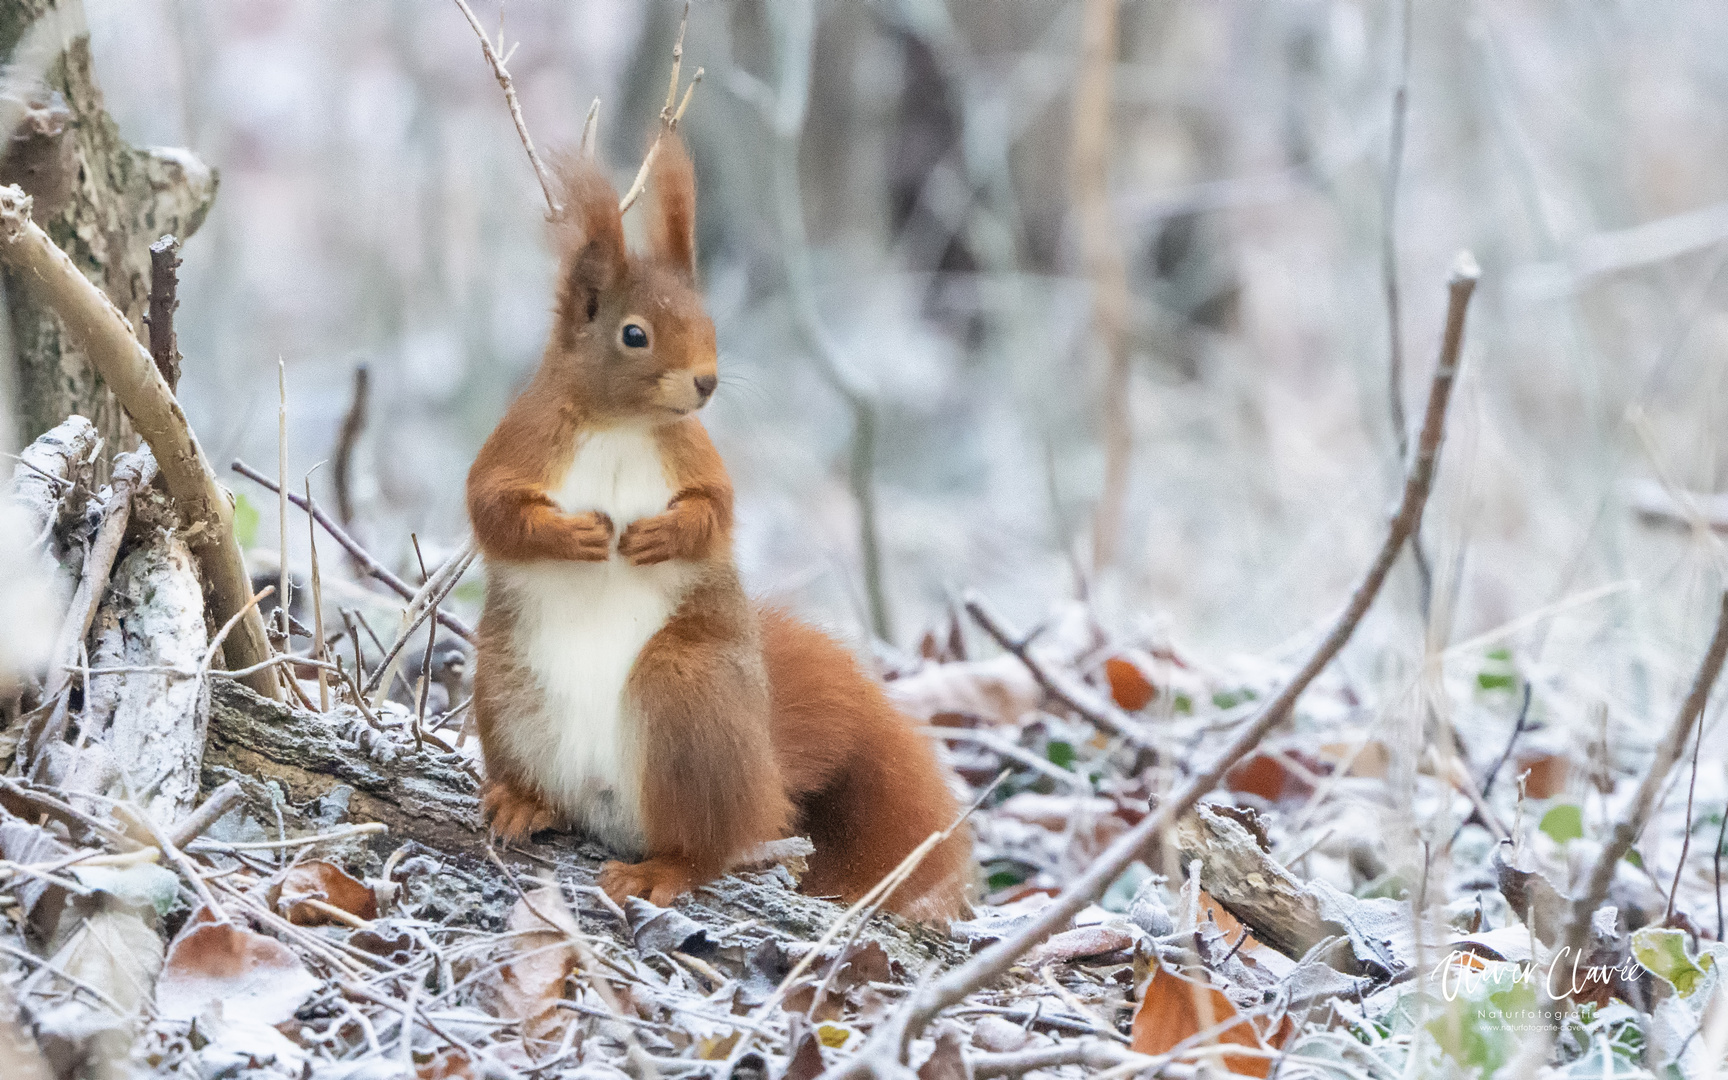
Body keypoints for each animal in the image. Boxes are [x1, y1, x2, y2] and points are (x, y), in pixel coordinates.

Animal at [466, 139, 974, 919]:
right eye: (634, 335)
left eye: (708, 323)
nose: (704, 383)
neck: (624, 424)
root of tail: (764, 782)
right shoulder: (520, 443)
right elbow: (491, 510)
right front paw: (574, 537)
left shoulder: (699, 459)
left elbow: (716, 515)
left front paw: (658, 538)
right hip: (504, 690)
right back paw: (526, 802)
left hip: (688, 699)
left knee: (708, 848)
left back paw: (660, 870)